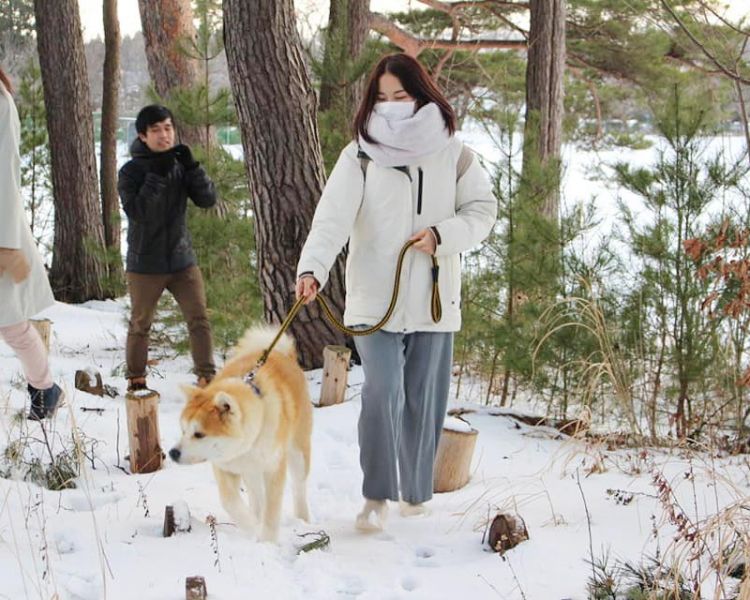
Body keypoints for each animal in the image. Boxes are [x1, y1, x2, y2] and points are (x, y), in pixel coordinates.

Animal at [170, 328, 312, 544]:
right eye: (183, 430)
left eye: (199, 434)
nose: (173, 453)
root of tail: (283, 354)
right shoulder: (224, 466)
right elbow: (229, 501)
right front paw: (251, 526)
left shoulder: (273, 467)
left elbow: (272, 511)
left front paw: (267, 541)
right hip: (251, 471)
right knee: (256, 496)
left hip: (297, 450)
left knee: (298, 486)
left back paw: (302, 518)